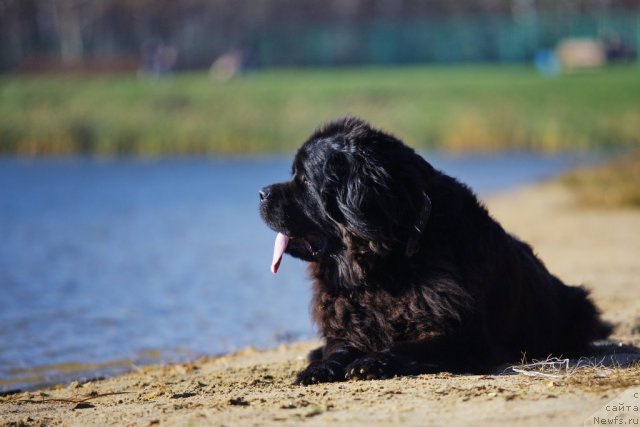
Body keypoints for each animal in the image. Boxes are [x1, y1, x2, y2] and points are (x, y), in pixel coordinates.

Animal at [258, 118, 608, 388]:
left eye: (304, 180)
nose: (260, 193)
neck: (384, 266)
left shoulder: (464, 335)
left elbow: (412, 346)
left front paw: (373, 362)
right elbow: (338, 347)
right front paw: (320, 367)